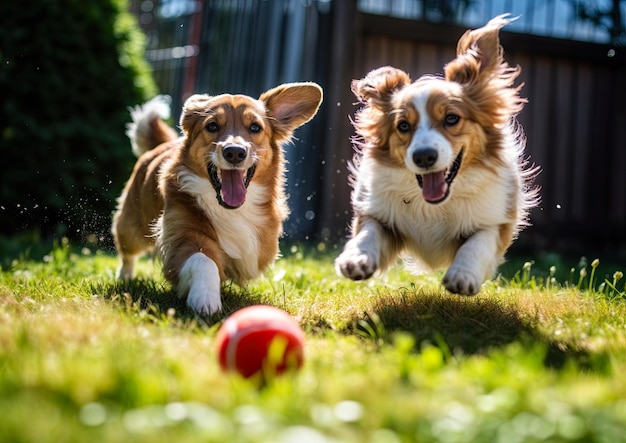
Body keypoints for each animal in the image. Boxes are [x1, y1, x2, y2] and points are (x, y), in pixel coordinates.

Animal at [111, 83, 322, 316]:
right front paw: (205, 298)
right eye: (212, 126)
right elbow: (204, 260)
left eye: (255, 127)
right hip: (132, 227)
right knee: (127, 252)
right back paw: (125, 277)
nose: (235, 152)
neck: (231, 209)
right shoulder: (183, 236)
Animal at [336, 15, 536, 296]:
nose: (423, 157)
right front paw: (355, 259)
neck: (433, 205)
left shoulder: (496, 219)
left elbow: (478, 243)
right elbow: (369, 232)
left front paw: (463, 275)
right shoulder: (379, 214)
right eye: (403, 126)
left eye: (451, 118)